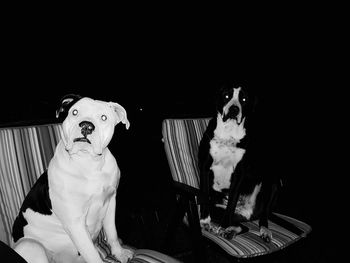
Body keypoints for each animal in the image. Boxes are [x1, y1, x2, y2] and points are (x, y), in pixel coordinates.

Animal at [198, 83, 280, 243]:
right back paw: (231, 231)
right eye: (226, 96)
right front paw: (205, 221)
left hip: (272, 182)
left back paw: (263, 231)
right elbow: (204, 196)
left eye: (243, 99)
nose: (234, 109)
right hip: (216, 208)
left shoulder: (239, 173)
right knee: (243, 226)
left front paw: (224, 226)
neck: (228, 133)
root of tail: (246, 213)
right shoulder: (204, 166)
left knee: (263, 217)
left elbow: (231, 202)